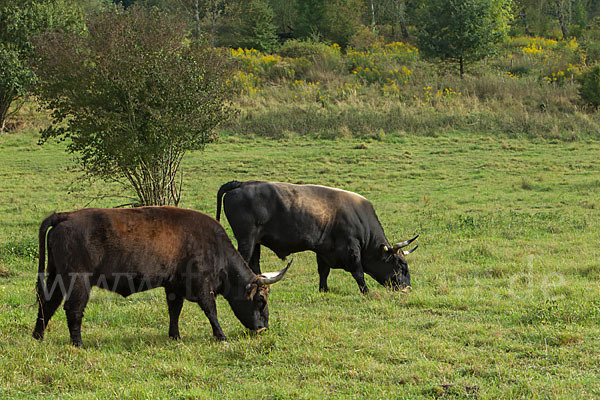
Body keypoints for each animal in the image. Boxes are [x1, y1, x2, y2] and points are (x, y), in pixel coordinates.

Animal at [32, 206, 290, 346]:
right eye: (261, 300)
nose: (263, 328)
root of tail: (65, 216)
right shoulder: (202, 286)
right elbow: (211, 311)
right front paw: (221, 336)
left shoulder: (174, 287)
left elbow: (174, 311)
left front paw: (175, 336)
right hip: (78, 282)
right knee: (73, 309)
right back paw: (78, 343)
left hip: (56, 278)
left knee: (47, 304)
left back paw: (38, 336)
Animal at [216, 181, 418, 294]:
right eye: (401, 265)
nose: (407, 288)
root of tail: (241, 183)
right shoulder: (351, 248)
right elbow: (358, 272)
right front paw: (366, 292)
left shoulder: (324, 250)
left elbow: (323, 271)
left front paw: (324, 290)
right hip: (247, 239)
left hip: (255, 241)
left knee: (254, 265)